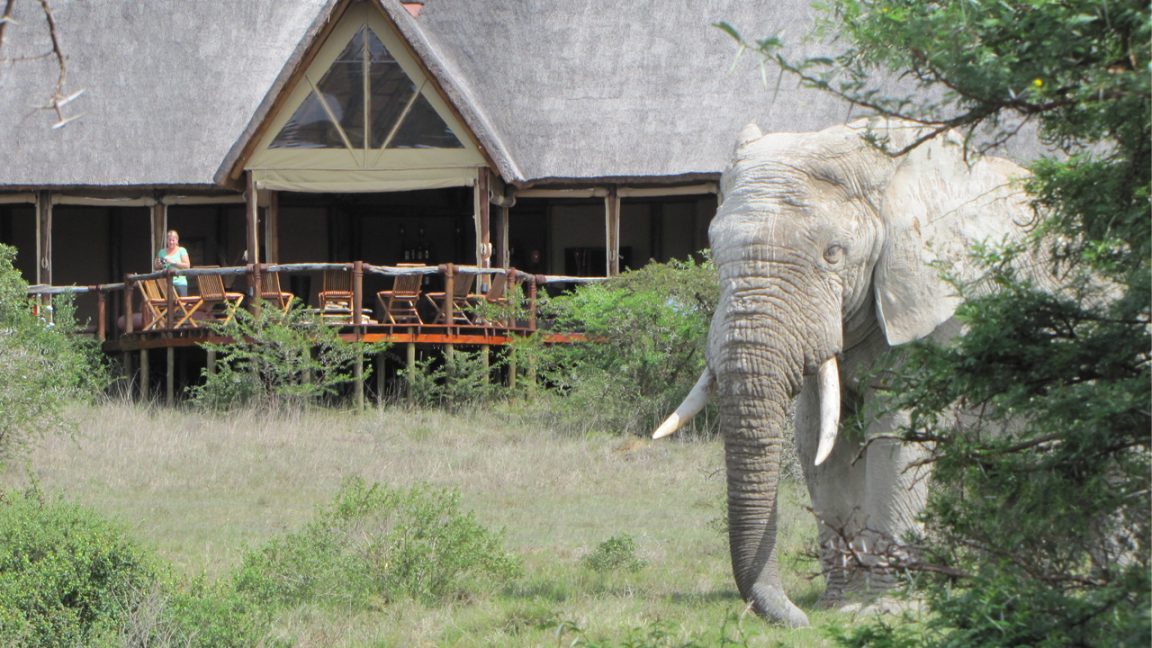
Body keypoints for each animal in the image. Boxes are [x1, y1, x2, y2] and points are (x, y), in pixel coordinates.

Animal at [653, 118, 1034, 626]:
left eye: (834, 253)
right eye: (713, 253)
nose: (797, 617)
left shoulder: (938, 306)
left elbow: (897, 435)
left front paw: (884, 609)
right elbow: (818, 439)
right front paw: (838, 605)